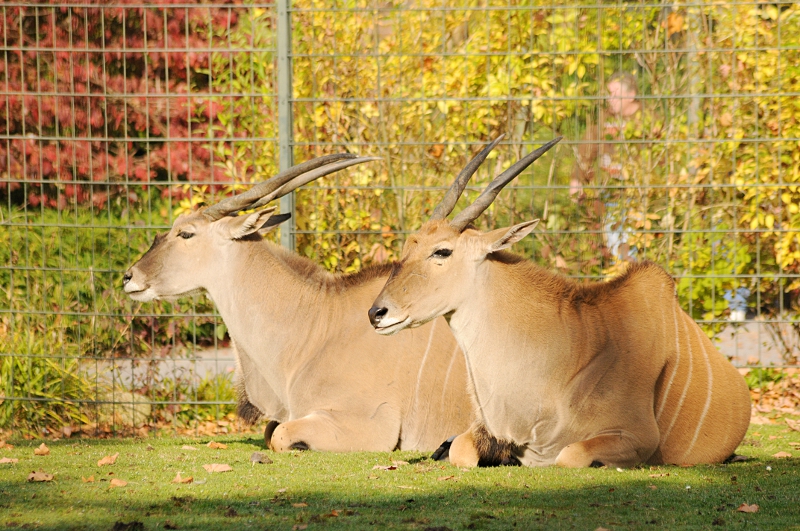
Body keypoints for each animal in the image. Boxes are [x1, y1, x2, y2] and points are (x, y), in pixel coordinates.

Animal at [123, 154, 472, 453]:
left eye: (185, 233)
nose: (129, 276)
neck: (318, 324)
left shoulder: (371, 426)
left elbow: (278, 435)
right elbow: (270, 430)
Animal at [368, 136, 751, 468]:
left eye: (442, 251)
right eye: (409, 247)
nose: (376, 313)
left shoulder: (636, 438)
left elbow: (569, 455)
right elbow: (461, 449)